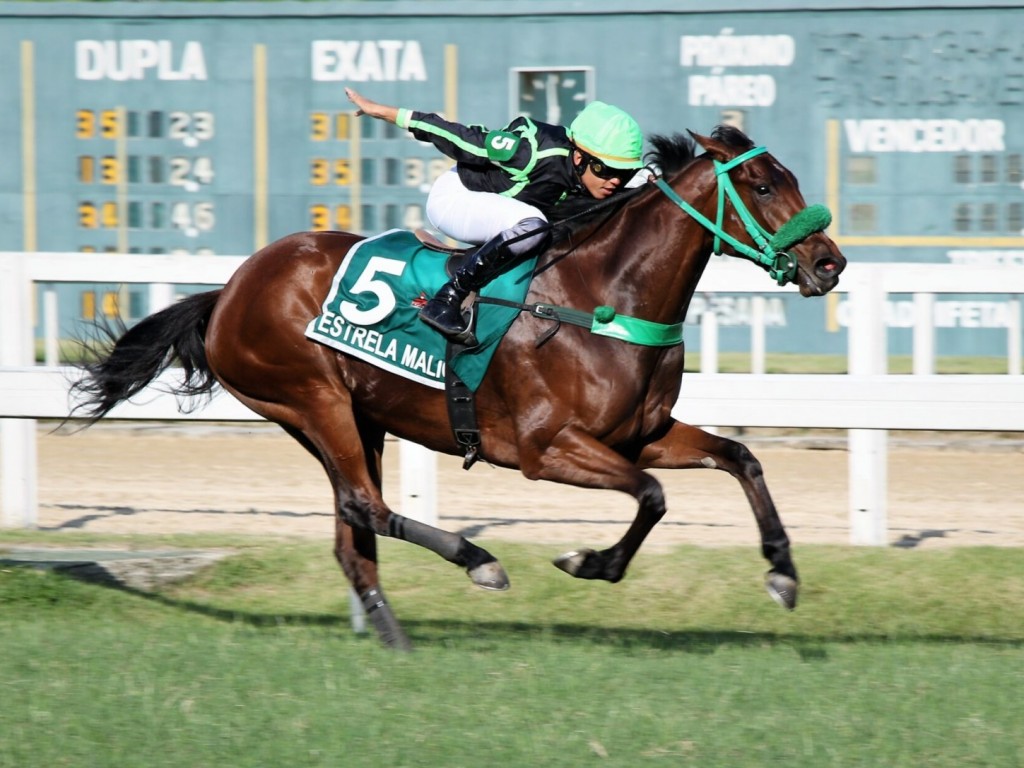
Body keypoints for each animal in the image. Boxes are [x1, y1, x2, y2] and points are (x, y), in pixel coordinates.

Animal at [70, 124, 847, 651]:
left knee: (352, 529)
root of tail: (230, 289)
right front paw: (590, 562)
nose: (829, 263)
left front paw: (783, 573)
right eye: (765, 185)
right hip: (312, 398)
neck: (603, 295)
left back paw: (395, 637)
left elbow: (741, 457)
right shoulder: (545, 448)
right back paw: (478, 563)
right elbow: (653, 497)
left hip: (354, 417)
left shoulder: (642, 435)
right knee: (367, 506)